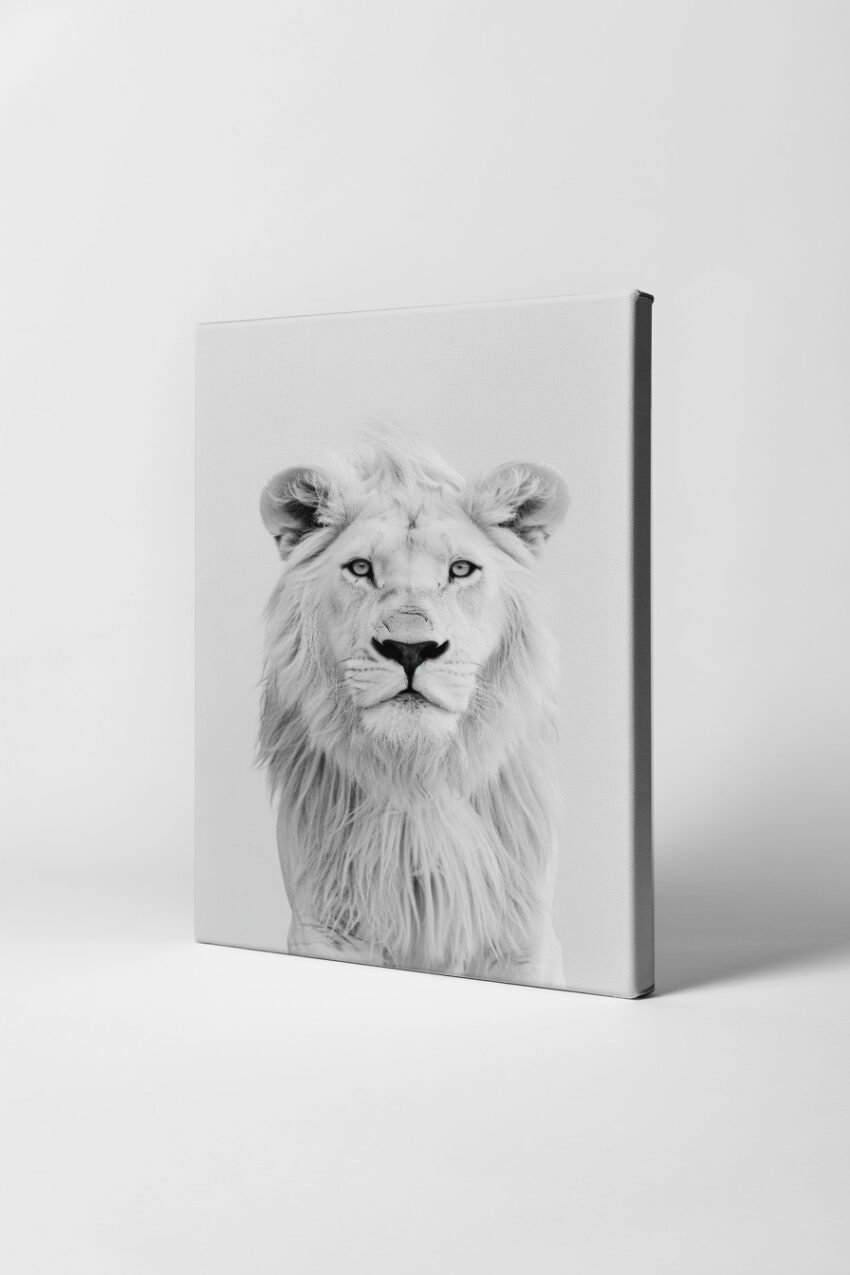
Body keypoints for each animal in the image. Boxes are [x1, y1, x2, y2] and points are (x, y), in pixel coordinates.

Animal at [258, 430, 569, 987]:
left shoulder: (523, 935)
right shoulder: (324, 925)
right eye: (361, 569)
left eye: (461, 569)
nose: (410, 649)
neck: (416, 775)